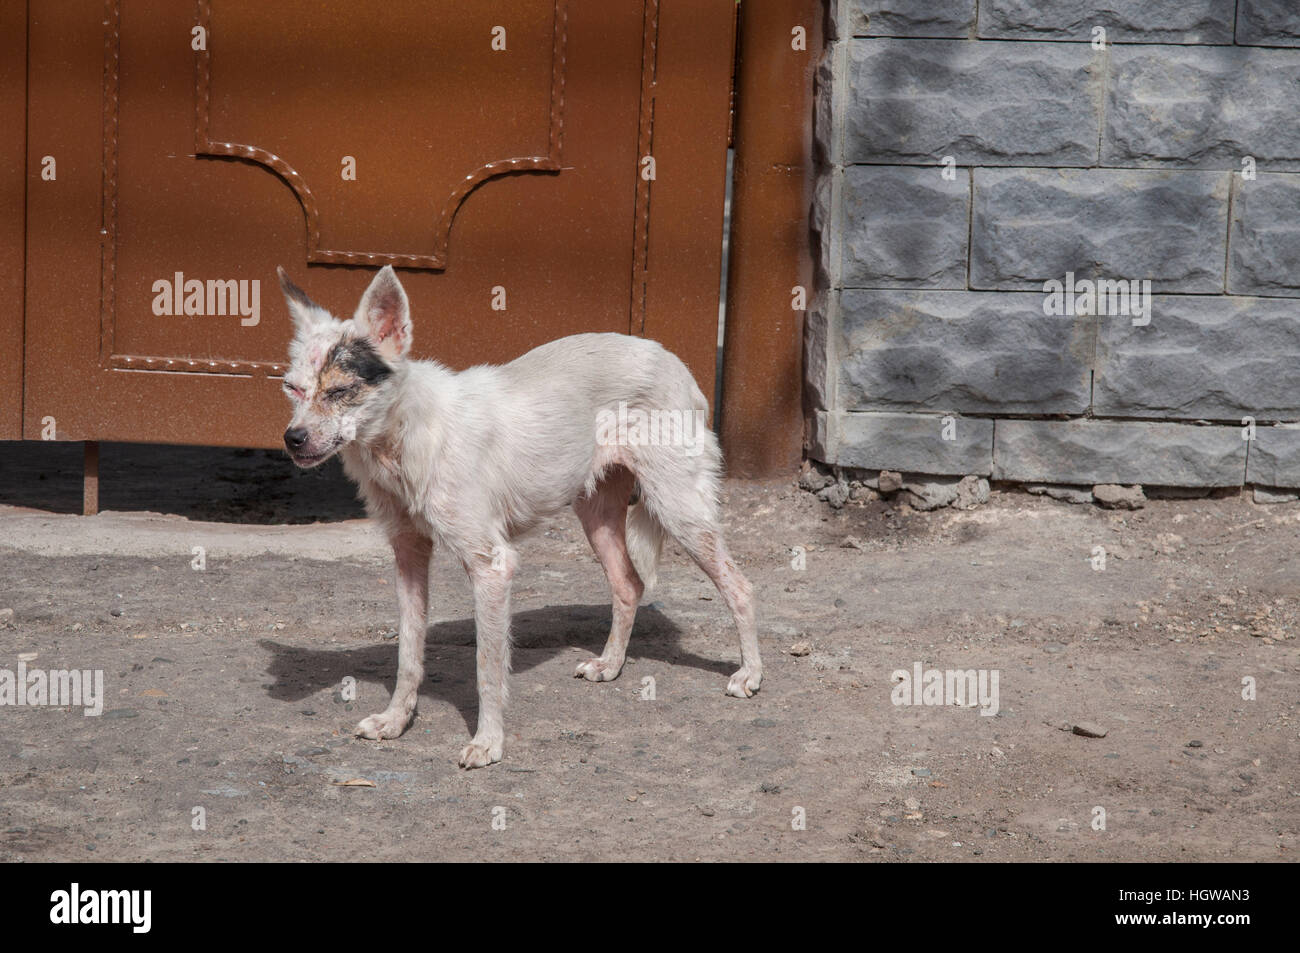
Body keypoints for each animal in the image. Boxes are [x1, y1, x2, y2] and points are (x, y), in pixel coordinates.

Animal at [276, 265, 759, 764]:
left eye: (340, 391)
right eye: (292, 388)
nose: (292, 439)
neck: (405, 438)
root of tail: (673, 360)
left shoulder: (492, 566)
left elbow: (487, 667)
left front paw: (488, 742)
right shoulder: (408, 556)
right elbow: (408, 655)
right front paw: (396, 720)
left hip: (679, 509)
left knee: (740, 586)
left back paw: (750, 674)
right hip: (597, 515)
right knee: (629, 585)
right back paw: (611, 664)